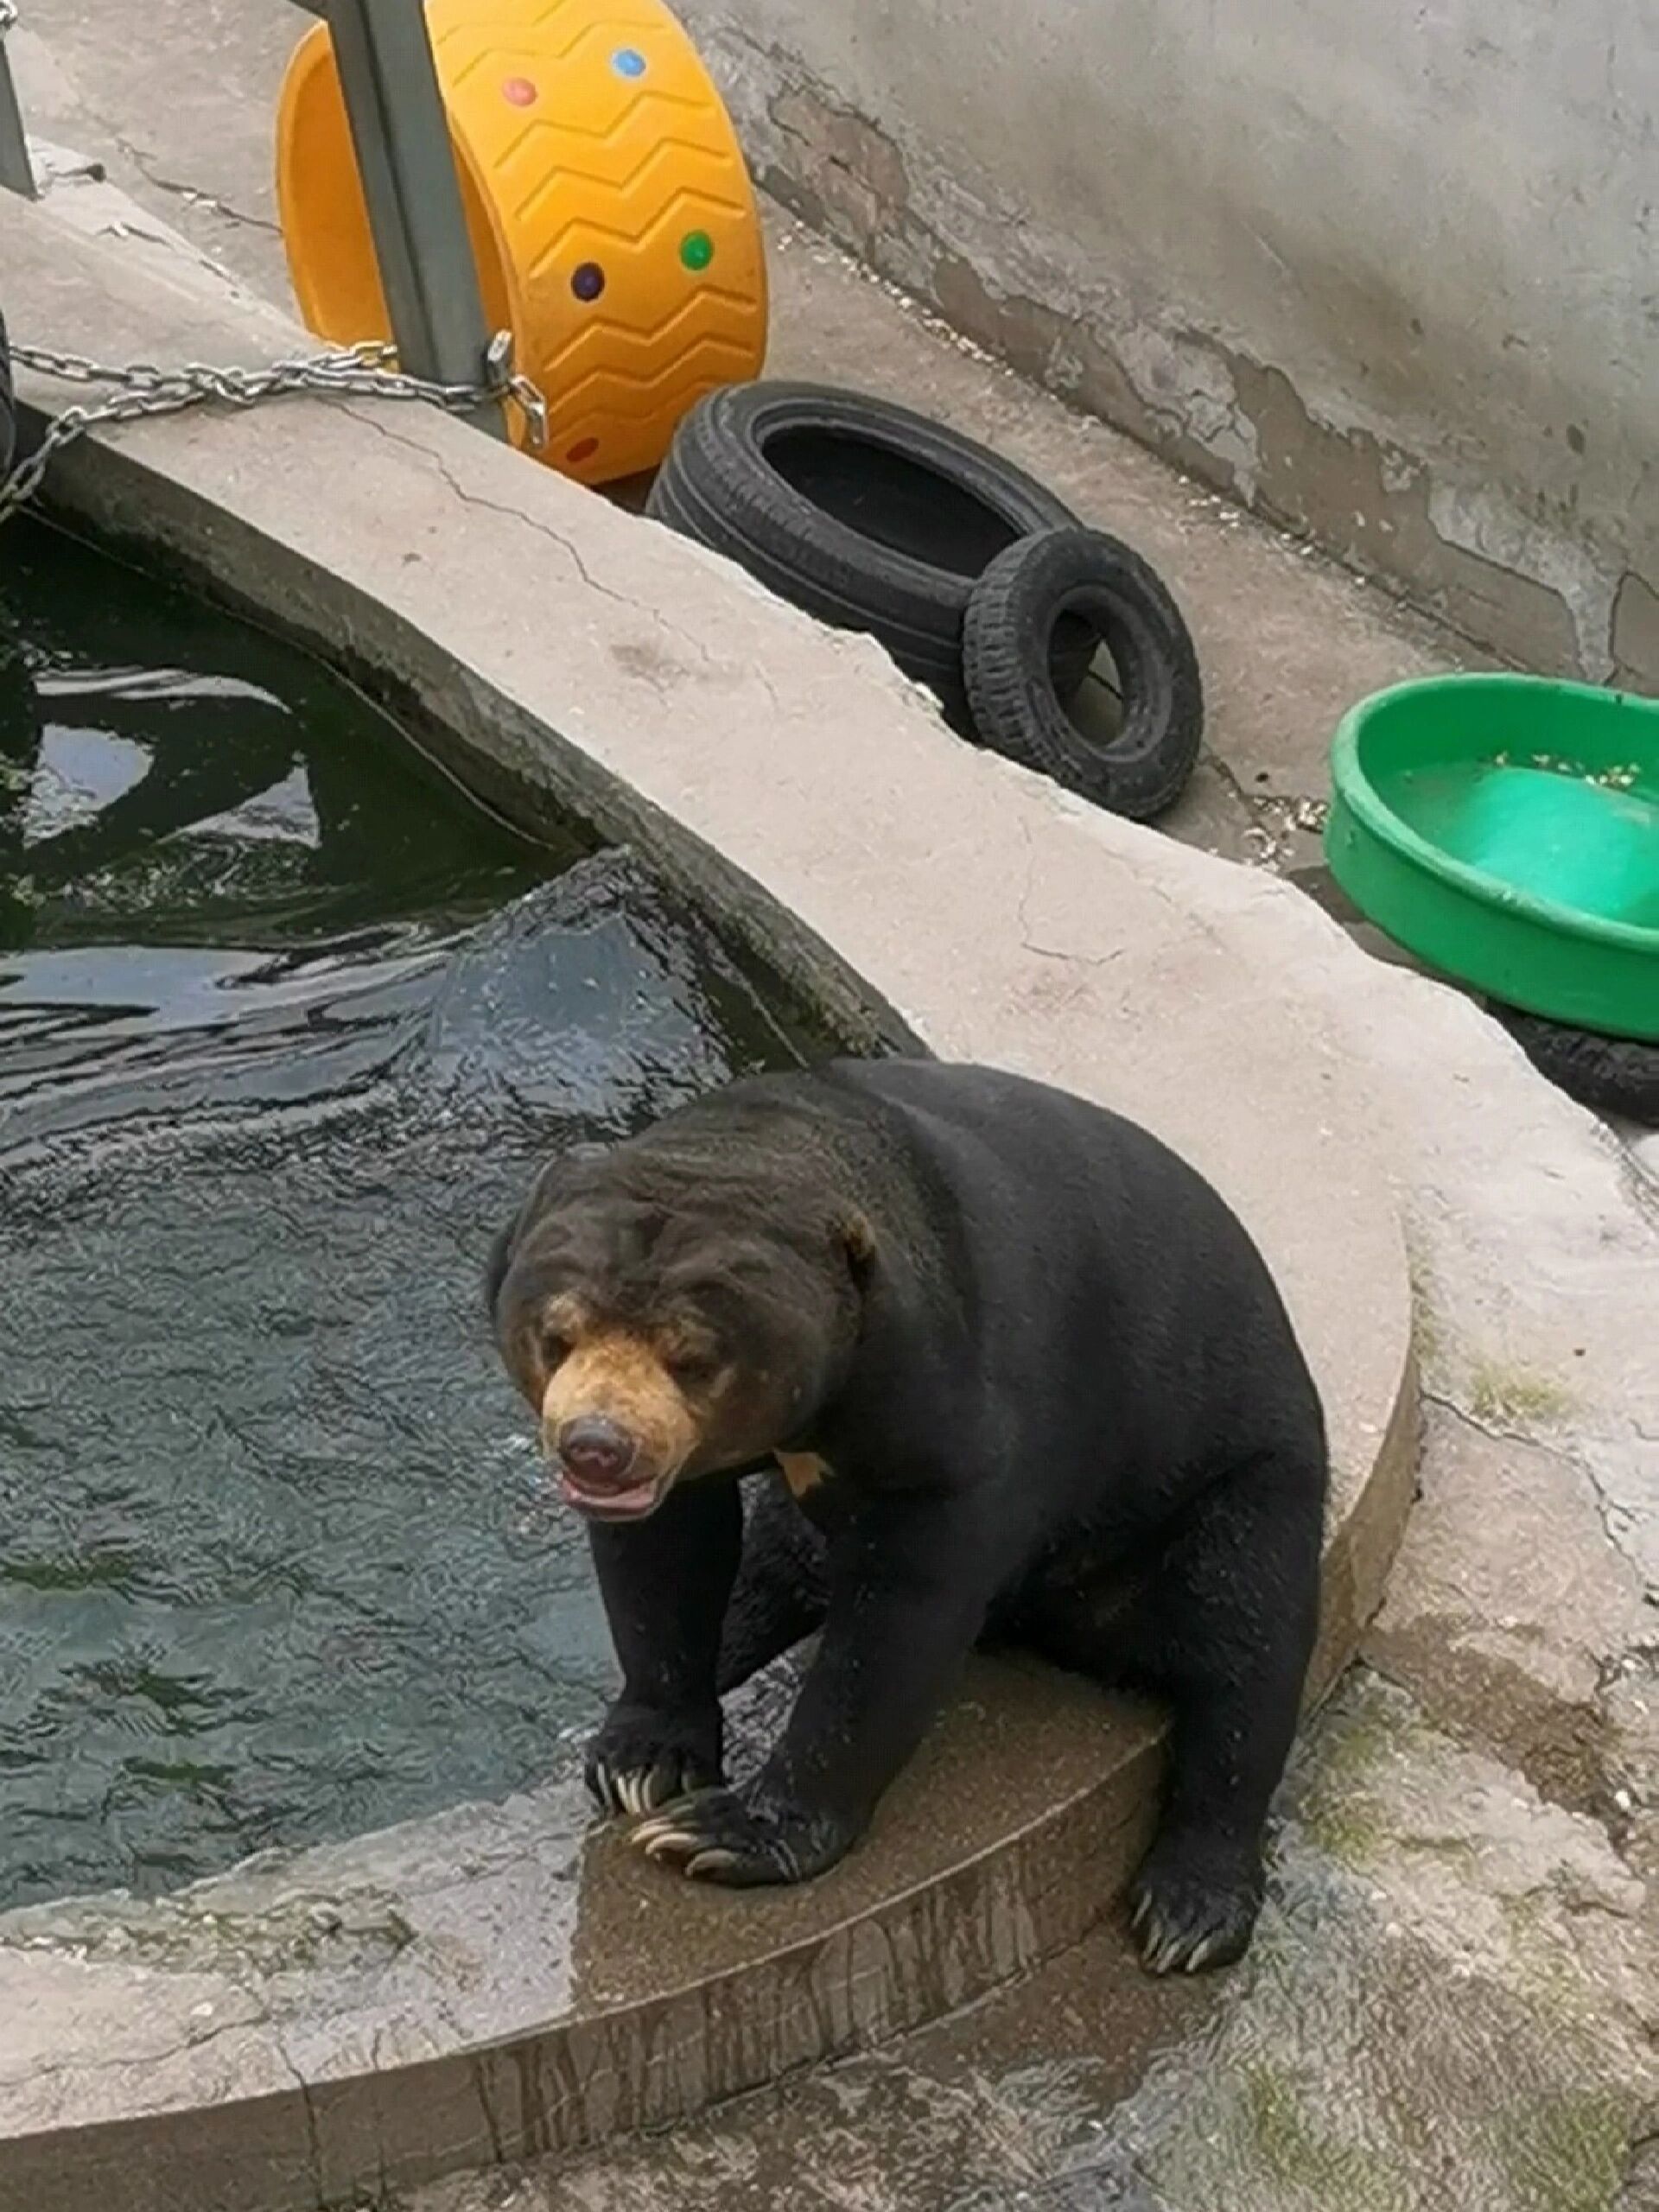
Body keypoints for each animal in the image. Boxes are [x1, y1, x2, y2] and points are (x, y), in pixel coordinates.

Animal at [486, 1057, 1327, 1973]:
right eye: (557, 1334)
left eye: (695, 1358)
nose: (597, 1448)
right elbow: (668, 1559)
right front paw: (642, 1759)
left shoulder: (941, 1386)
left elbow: (902, 1614)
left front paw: (727, 1832)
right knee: (769, 1583)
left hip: (1233, 1481)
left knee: (1246, 1656)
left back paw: (1188, 1911)